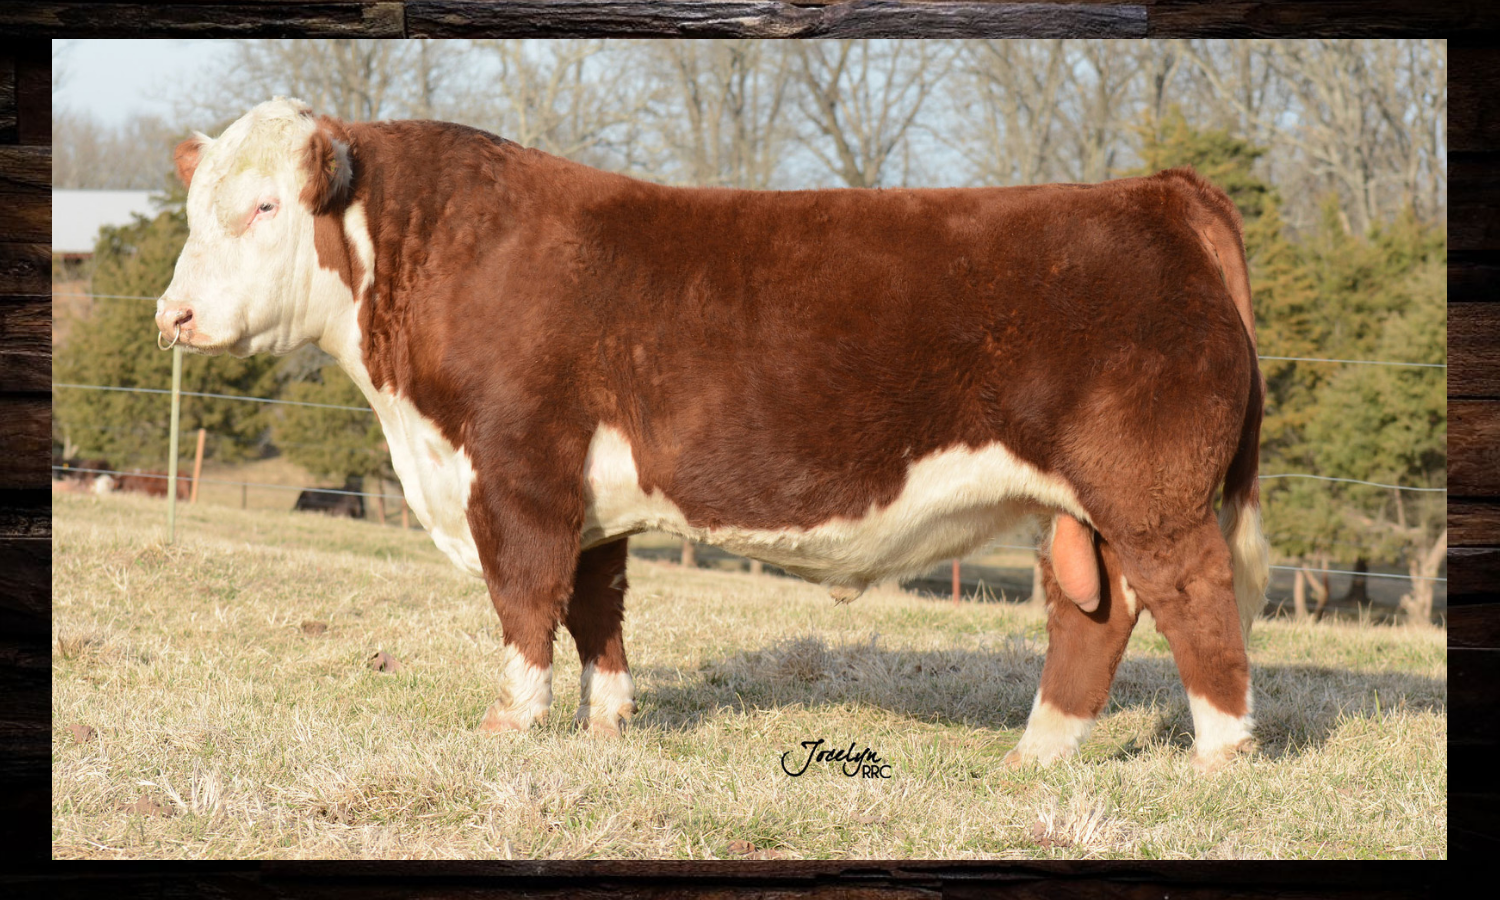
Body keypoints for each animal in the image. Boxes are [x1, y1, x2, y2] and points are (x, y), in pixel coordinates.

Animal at [156, 98, 1269, 773]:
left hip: (1153, 493)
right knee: (1096, 613)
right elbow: (595, 609)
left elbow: (525, 601)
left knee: (1195, 598)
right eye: (197, 209)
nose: (173, 315)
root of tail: (1160, 191)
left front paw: (511, 725)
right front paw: (608, 725)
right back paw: (1037, 754)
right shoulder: (589, 502)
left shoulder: (517, 476)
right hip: (1087, 507)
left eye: (264, 207)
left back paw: (1219, 758)